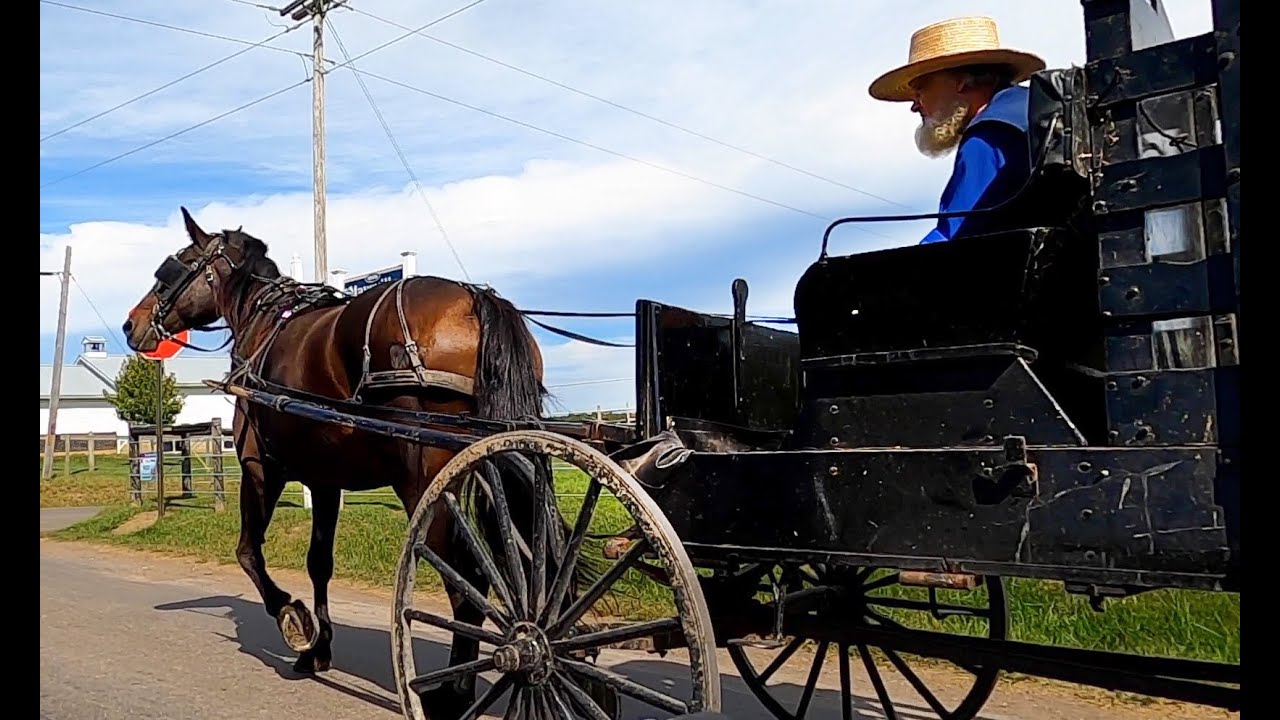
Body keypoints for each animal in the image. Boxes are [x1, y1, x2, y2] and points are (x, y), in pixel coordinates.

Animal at [120, 204, 599, 712]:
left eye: (171, 269)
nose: (132, 324)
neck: (266, 322)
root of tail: (474, 299)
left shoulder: (260, 467)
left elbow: (248, 552)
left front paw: (294, 620)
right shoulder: (325, 481)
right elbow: (318, 561)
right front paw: (318, 649)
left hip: (425, 481)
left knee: (468, 582)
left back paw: (456, 690)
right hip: (497, 462)